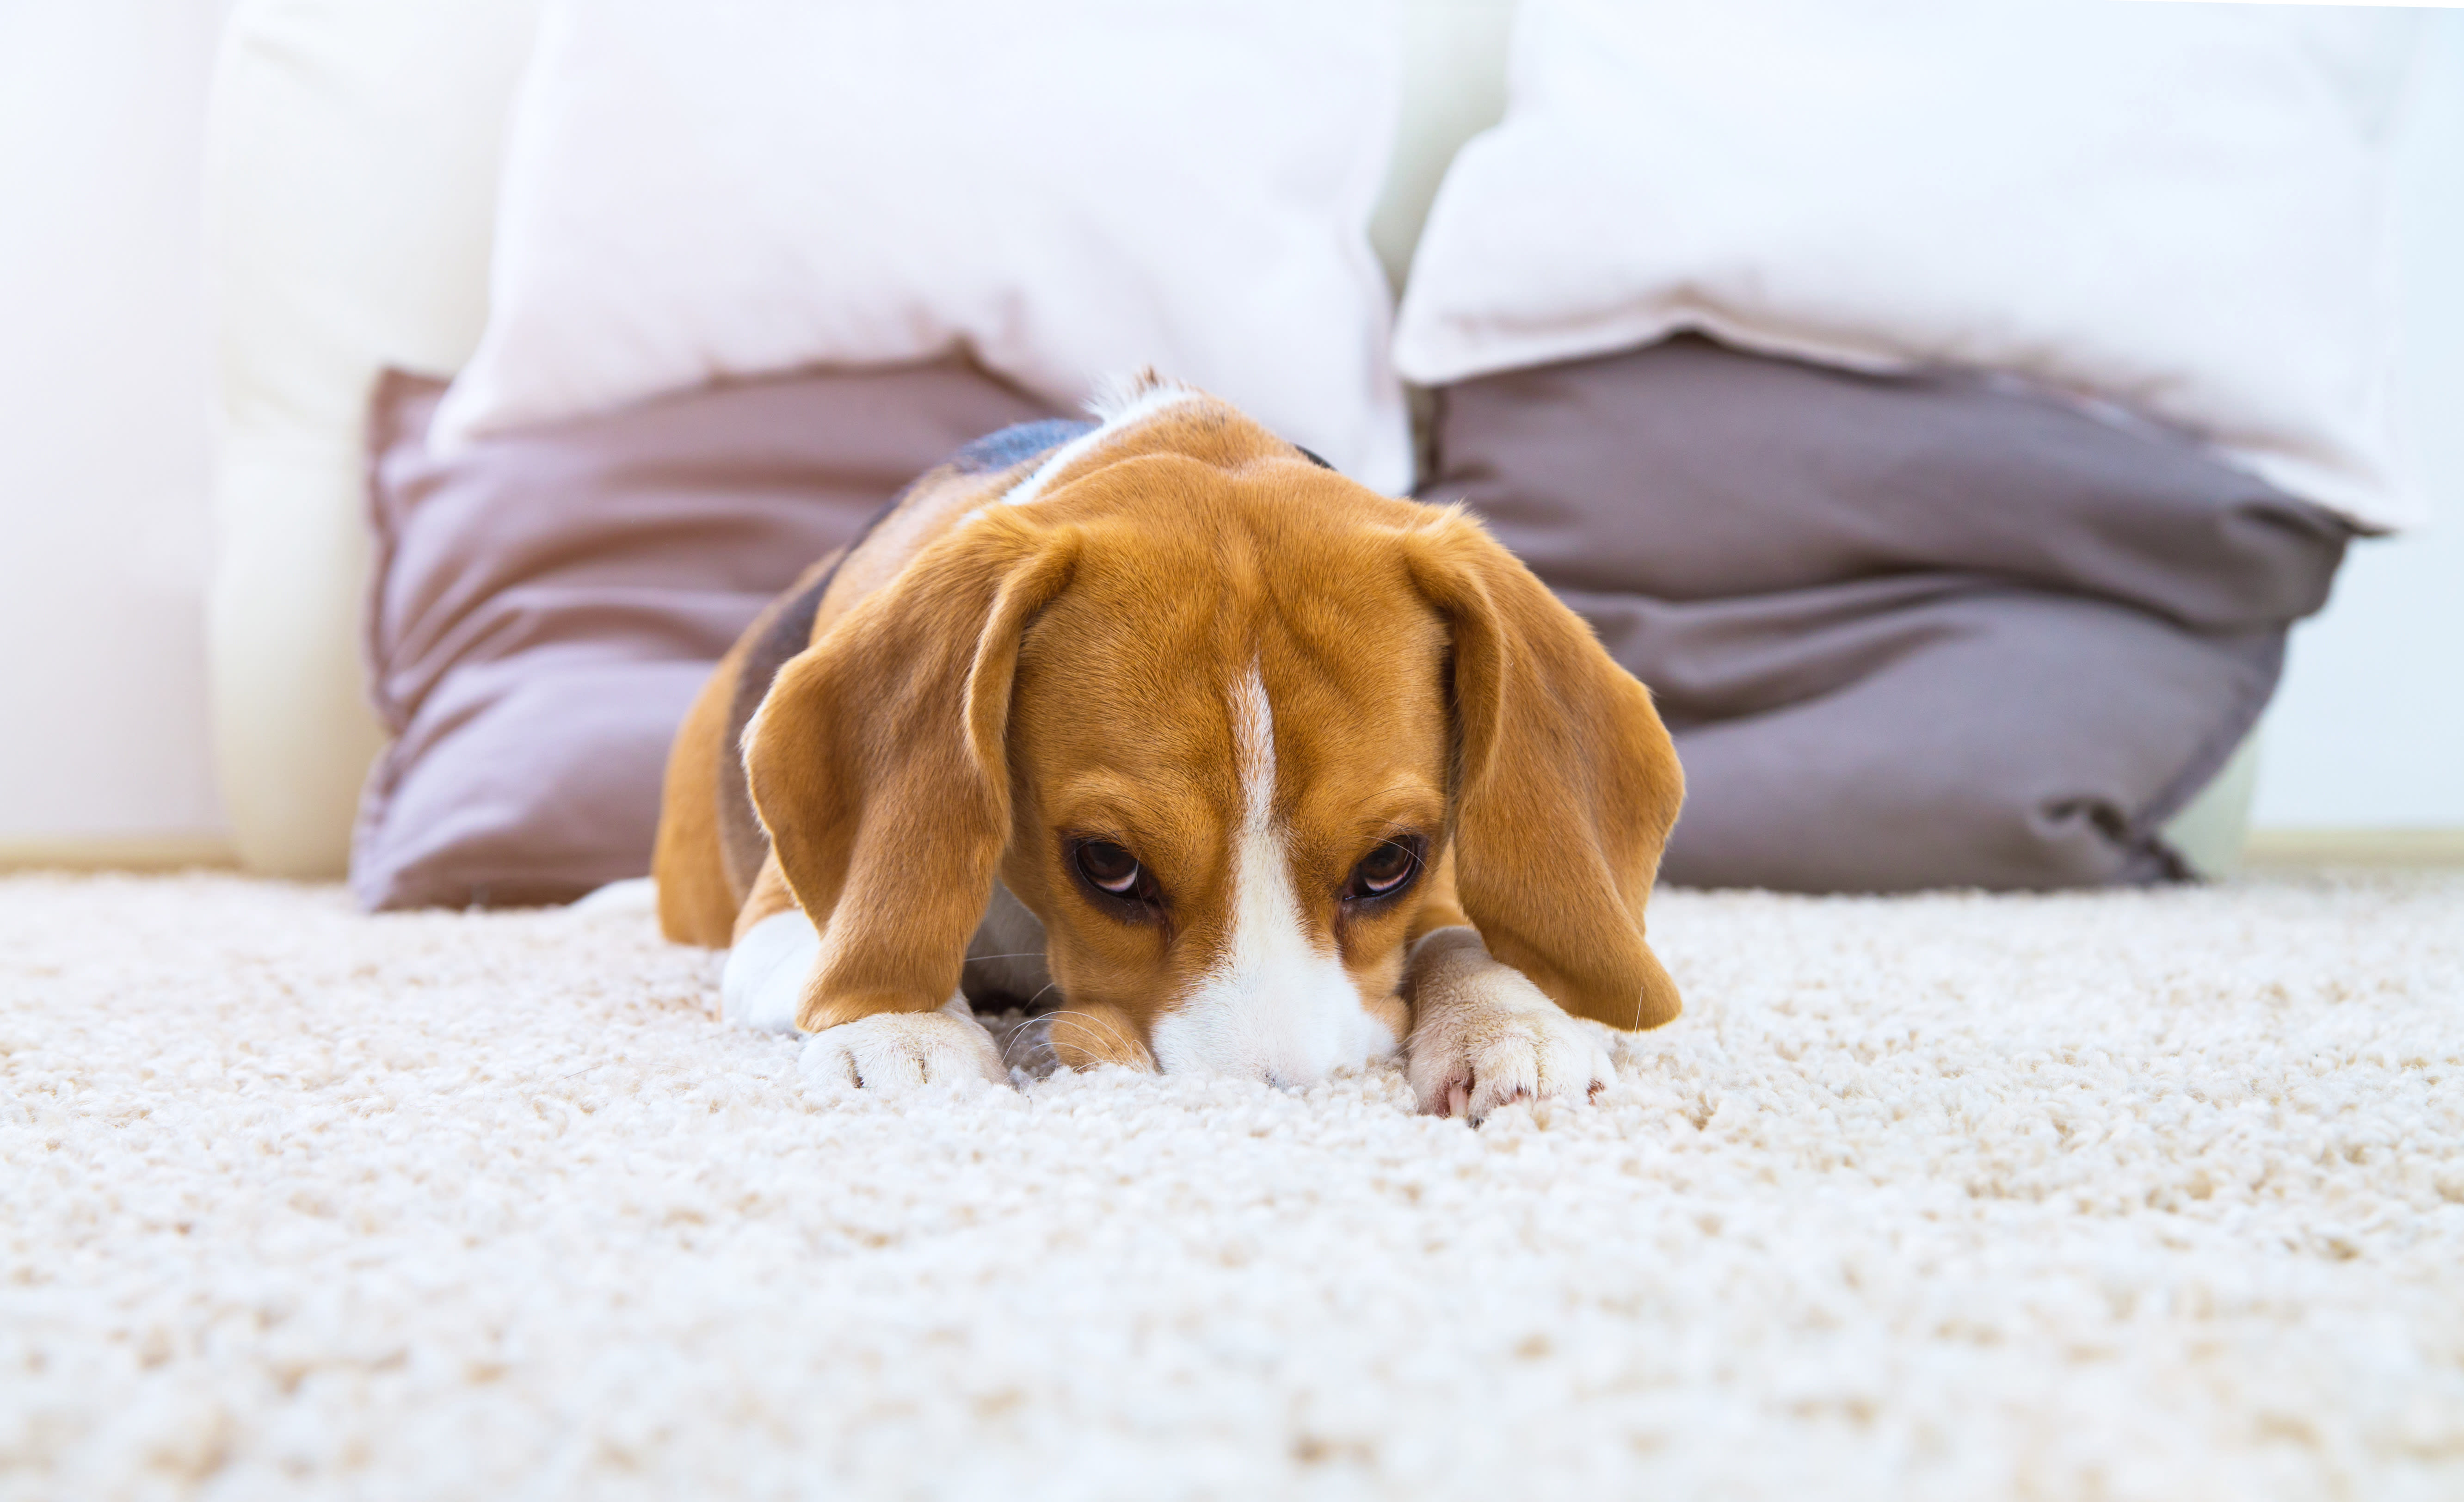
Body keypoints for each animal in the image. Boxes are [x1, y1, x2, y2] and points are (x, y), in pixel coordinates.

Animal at [650, 379, 1695, 1118]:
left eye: (1390, 862)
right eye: (1107, 865)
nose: (1270, 1103)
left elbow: (1462, 933)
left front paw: (1510, 1018)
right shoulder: (775, 919)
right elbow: (874, 938)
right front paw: (900, 1027)